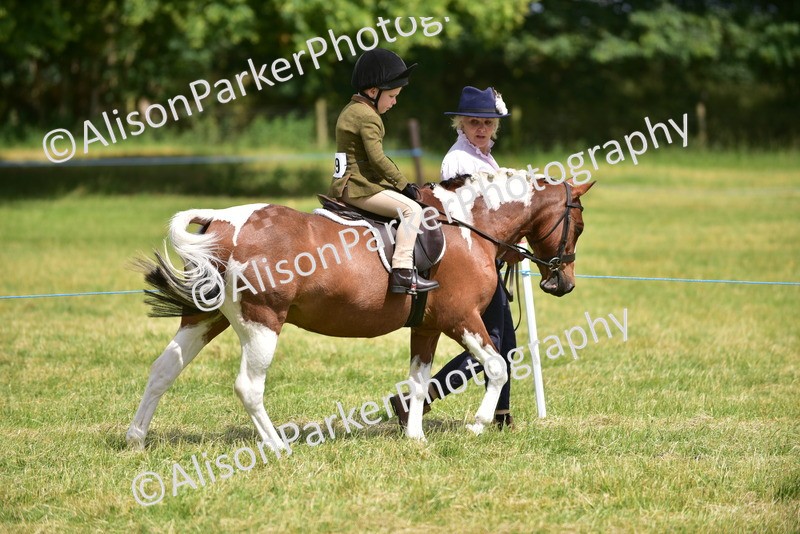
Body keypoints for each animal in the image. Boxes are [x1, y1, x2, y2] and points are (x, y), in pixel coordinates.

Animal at [126, 169, 594, 450]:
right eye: (580, 224)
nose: (563, 283)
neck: (466, 226)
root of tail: (220, 221)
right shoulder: (461, 319)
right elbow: (496, 365)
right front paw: (477, 424)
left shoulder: (427, 326)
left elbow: (419, 381)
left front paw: (415, 437)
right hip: (262, 323)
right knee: (248, 386)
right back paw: (277, 446)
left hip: (207, 318)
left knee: (163, 370)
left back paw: (136, 438)